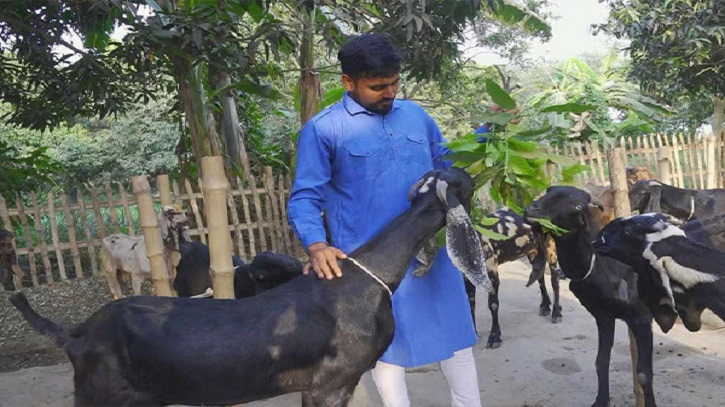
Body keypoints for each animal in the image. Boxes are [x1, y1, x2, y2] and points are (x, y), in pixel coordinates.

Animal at [8, 167, 492, 407]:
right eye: (461, 181)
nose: (467, 167)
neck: (367, 276)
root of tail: (77, 333)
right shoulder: (328, 383)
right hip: (103, 397)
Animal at [524, 187, 664, 407]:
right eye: (548, 191)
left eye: (577, 206)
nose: (532, 210)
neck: (599, 264)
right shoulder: (603, 315)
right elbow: (601, 361)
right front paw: (601, 400)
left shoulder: (641, 318)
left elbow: (643, 374)